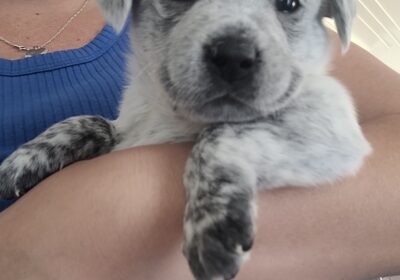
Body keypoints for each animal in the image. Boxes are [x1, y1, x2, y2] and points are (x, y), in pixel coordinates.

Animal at [0, 1, 370, 278]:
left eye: (290, 4)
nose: (234, 57)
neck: (173, 118)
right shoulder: (127, 128)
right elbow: (91, 122)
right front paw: (23, 161)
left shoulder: (328, 124)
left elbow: (218, 136)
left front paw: (214, 222)